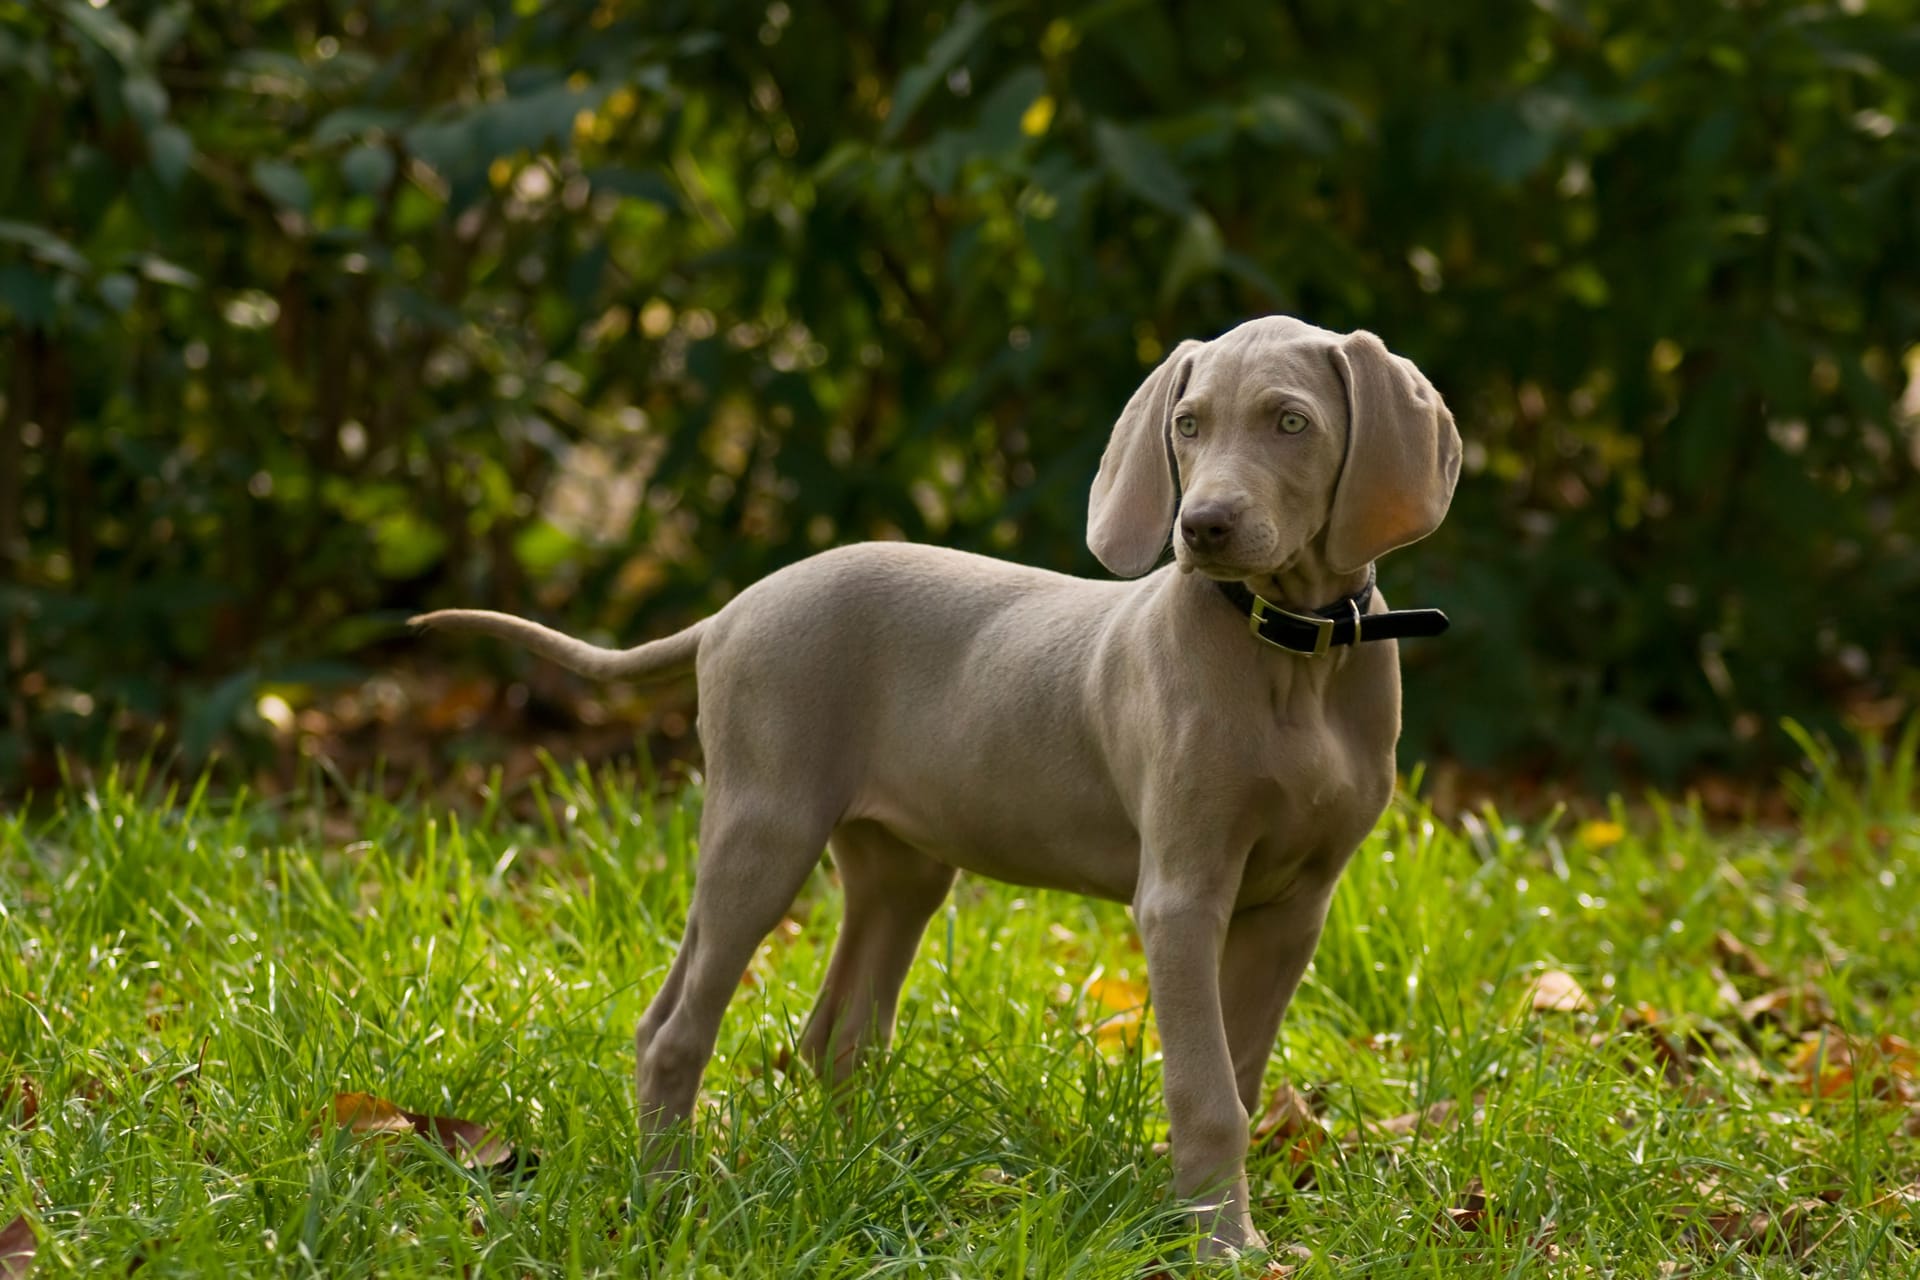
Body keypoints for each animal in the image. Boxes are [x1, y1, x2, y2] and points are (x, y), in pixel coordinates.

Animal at [408, 314, 1451, 1258]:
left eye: (1290, 422)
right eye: (1188, 425)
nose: (1202, 528)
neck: (1295, 654)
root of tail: (735, 607)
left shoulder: (1297, 908)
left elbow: (1239, 1070)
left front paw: (1206, 1222)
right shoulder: (1182, 898)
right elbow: (1208, 1095)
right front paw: (1224, 1247)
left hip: (899, 866)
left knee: (835, 1034)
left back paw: (859, 1176)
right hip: (764, 827)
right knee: (673, 1029)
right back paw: (671, 1201)